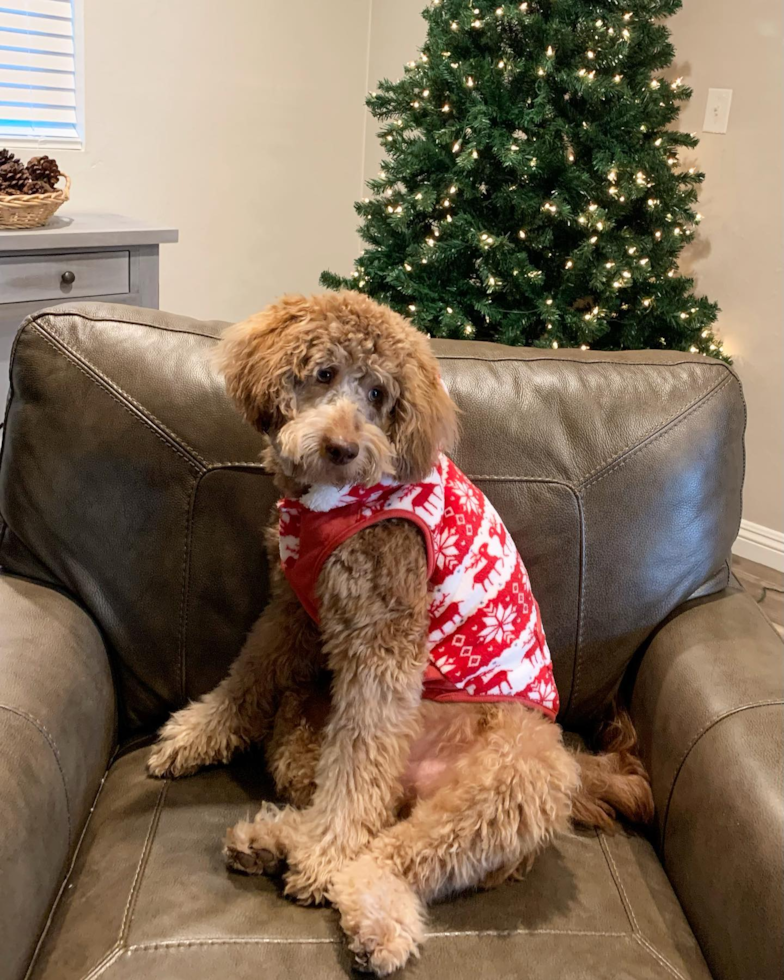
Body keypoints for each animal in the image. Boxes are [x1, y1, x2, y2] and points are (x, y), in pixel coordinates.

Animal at [145, 290, 648, 972]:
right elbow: (248, 676)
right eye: (324, 372)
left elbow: (360, 762)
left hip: (519, 775)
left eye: (380, 394)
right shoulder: (293, 609)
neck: (334, 502)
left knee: (393, 850)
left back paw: (353, 901)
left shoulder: (382, 636)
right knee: (369, 813)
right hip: (303, 729)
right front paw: (193, 736)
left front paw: (325, 858)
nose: (342, 447)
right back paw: (271, 840)